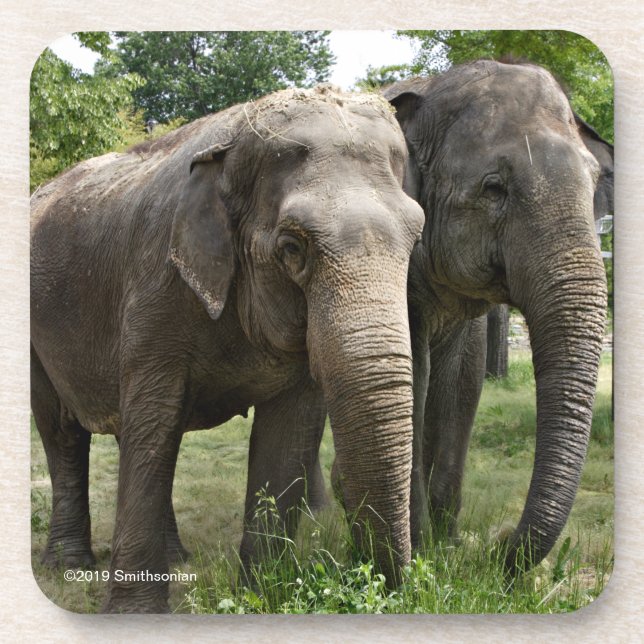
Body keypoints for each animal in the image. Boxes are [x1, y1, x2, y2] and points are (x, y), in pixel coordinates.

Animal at [30, 85, 425, 613]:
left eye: (416, 239)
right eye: (292, 247)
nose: (373, 582)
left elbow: (287, 434)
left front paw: (262, 595)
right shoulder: (156, 286)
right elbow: (154, 418)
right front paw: (135, 614)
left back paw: (175, 557)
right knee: (65, 430)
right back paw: (68, 564)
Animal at [375, 59, 609, 576]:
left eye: (593, 182)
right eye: (494, 188)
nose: (499, 547)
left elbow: (464, 379)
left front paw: (447, 546)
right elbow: (412, 377)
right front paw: (419, 555)